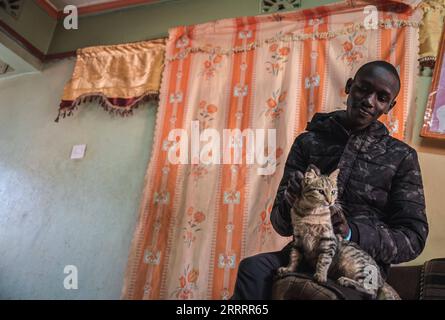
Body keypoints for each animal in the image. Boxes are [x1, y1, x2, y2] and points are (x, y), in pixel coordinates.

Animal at [278, 165, 398, 300]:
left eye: (333, 192)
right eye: (320, 191)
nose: (330, 201)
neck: (310, 213)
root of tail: (382, 280)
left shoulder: (328, 239)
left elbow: (324, 260)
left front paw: (320, 276)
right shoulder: (298, 238)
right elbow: (294, 256)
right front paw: (288, 269)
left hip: (359, 266)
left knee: (371, 291)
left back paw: (345, 281)